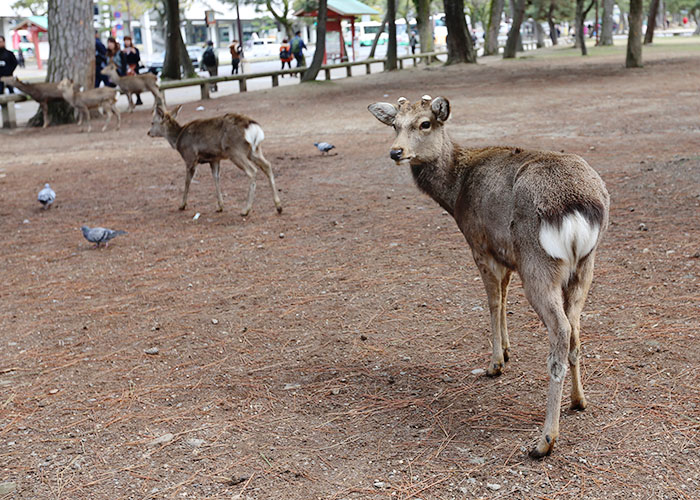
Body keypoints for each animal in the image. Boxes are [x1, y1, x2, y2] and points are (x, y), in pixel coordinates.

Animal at [147, 104, 282, 216]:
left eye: (152, 122)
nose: (148, 133)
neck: (178, 140)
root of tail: (253, 127)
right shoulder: (214, 159)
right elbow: (216, 178)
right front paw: (220, 206)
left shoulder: (190, 157)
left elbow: (187, 181)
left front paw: (182, 205)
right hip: (254, 150)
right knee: (267, 165)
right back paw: (279, 206)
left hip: (235, 151)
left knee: (252, 170)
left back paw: (245, 210)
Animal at [370, 94, 608, 458]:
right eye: (394, 124)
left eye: (425, 123)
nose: (396, 152)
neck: (455, 193)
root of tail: (577, 206)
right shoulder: (507, 255)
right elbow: (505, 296)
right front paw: (508, 349)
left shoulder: (479, 242)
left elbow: (493, 301)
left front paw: (495, 363)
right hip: (584, 266)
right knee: (576, 327)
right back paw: (579, 401)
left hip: (539, 264)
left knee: (561, 330)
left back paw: (545, 439)